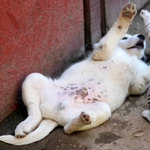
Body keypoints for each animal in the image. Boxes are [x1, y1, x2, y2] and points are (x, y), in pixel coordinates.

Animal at [0, 2, 149, 145]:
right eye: (124, 37)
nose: (142, 36)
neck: (130, 56)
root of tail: (53, 116)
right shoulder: (101, 53)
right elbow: (115, 32)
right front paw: (126, 15)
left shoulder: (136, 84)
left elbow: (143, 78)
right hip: (33, 78)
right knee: (35, 113)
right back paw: (23, 127)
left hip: (103, 109)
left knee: (67, 128)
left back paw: (84, 119)